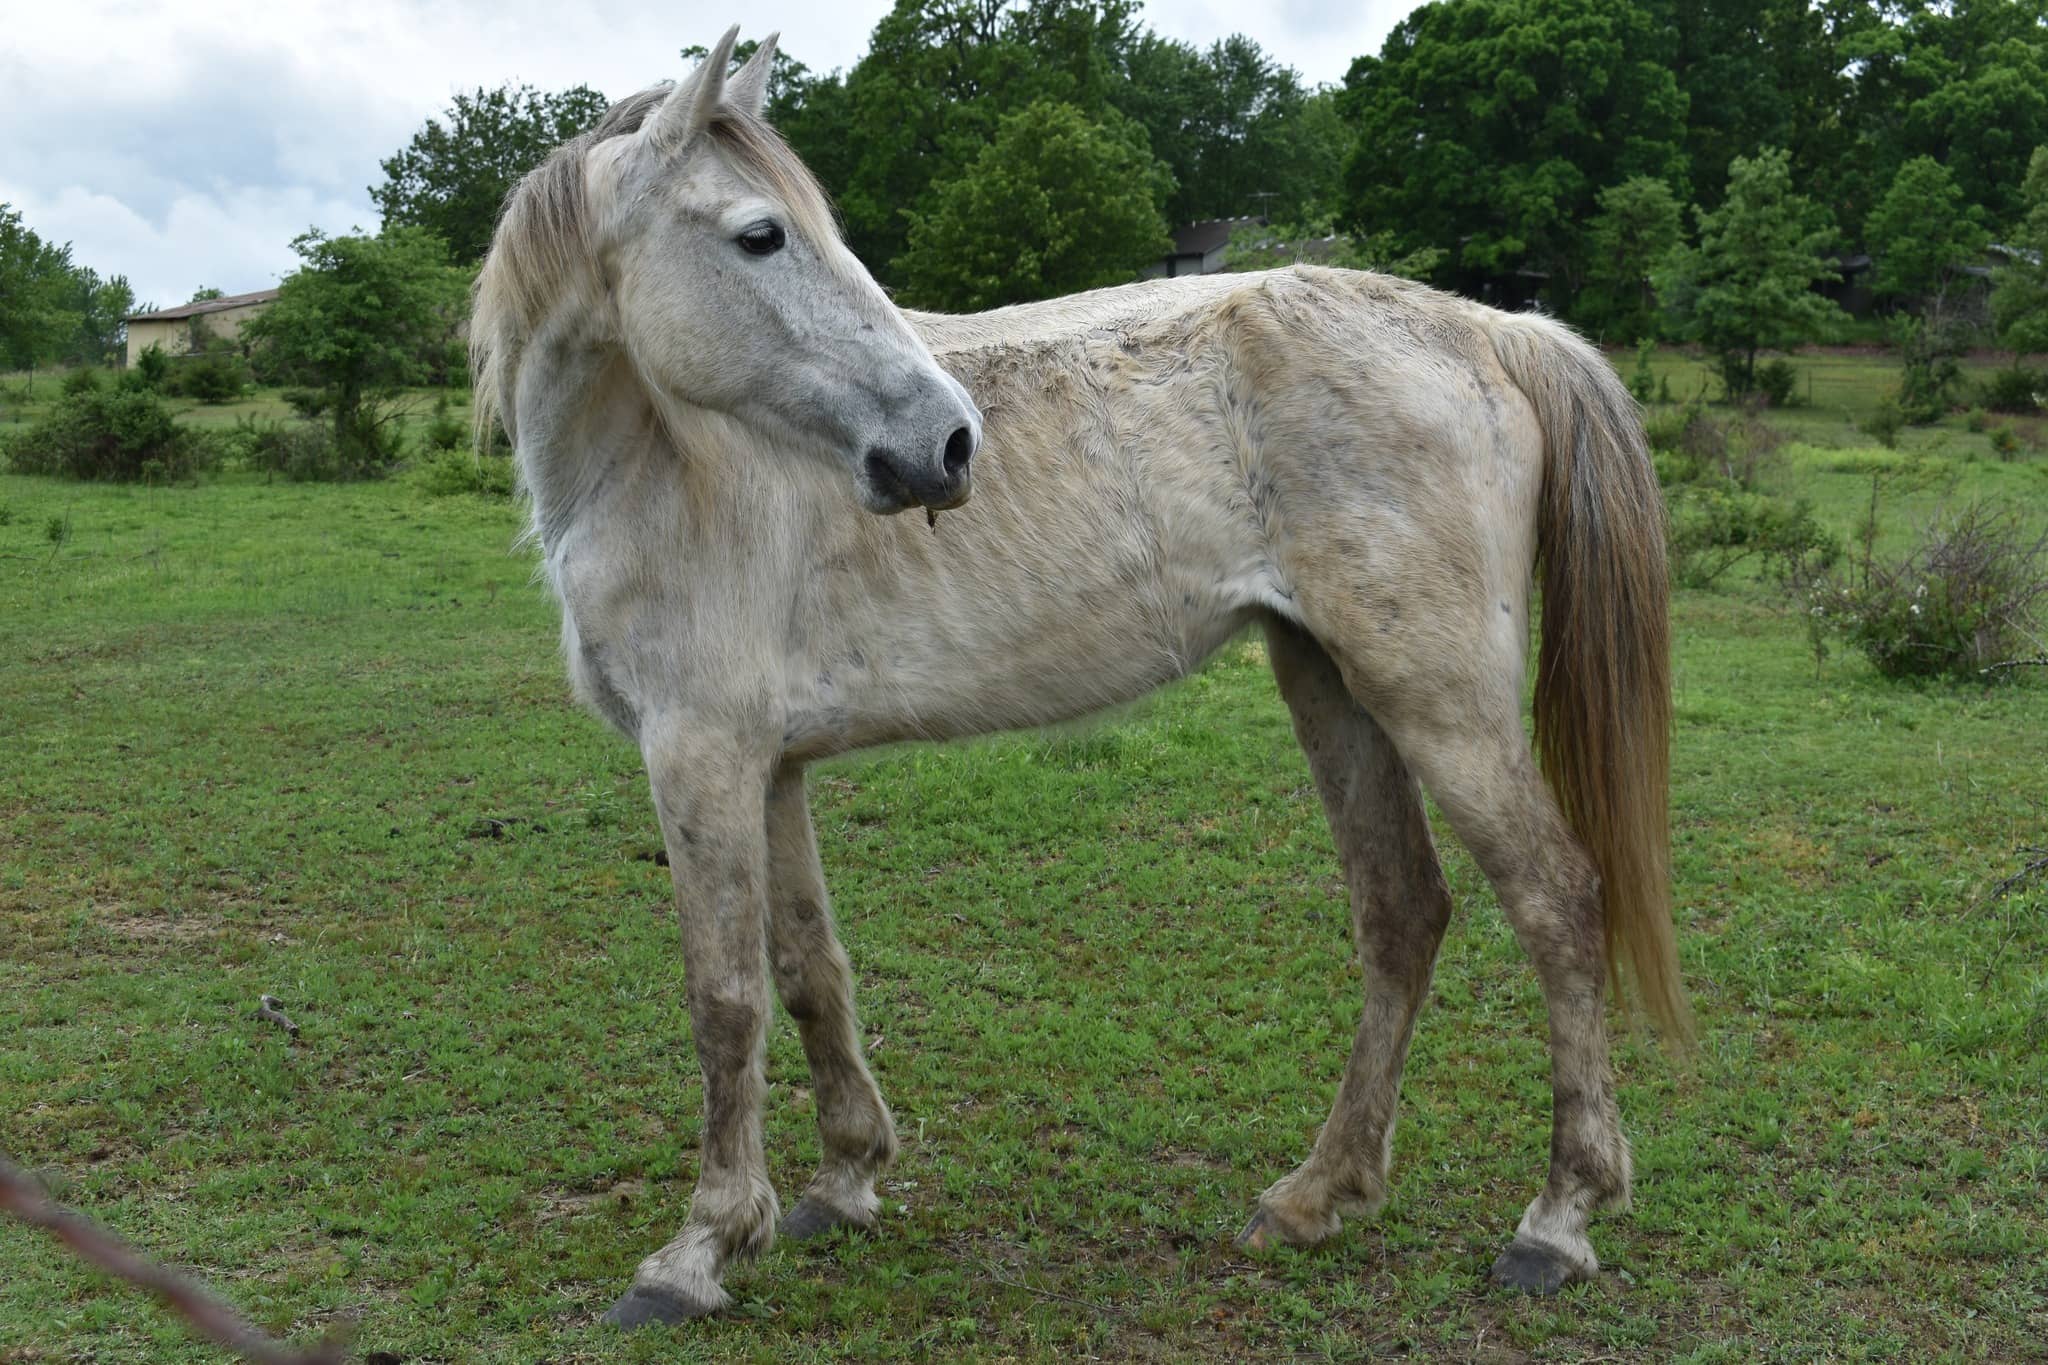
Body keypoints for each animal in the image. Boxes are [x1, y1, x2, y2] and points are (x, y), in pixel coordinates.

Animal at [471, 29, 1687, 1334]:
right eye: (761, 236)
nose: (946, 445)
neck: (664, 464)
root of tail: (1492, 331)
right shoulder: (770, 764)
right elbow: (805, 973)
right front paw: (840, 1183)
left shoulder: (698, 755)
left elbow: (723, 999)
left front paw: (696, 1250)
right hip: (1329, 680)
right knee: (1400, 910)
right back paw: (1316, 1196)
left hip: (1435, 700)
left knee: (1556, 902)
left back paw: (1555, 1221)